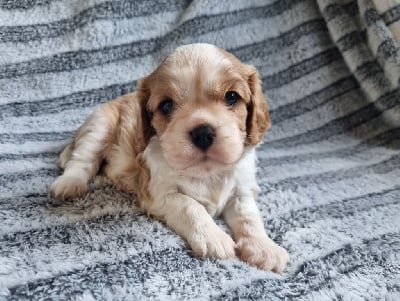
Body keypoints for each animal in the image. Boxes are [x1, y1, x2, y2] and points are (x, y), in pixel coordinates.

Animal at [50, 42, 288, 272]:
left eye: (232, 97)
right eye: (166, 105)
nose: (202, 133)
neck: (207, 172)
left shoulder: (242, 190)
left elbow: (249, 216)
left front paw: (264, 247)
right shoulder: (161, 193)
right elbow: (190, 206)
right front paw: (214, 237)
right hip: (99, 126)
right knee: (82, 160)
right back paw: (69, 184)